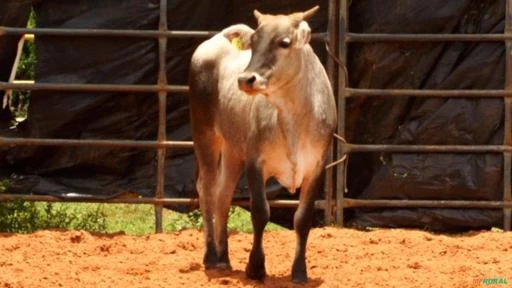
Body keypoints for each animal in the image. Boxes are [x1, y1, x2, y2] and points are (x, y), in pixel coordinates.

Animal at [188, 6, 336, 284]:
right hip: (204, 134)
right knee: (208, 189)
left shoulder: (316, 168)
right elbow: (260, 212)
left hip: (233, 149)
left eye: (284, 42)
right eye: (254, 42)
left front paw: (299, 272)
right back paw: (211, 255)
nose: (246, 79)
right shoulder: (256, 163)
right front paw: (256, 268)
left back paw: (224, 258)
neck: (293, 118)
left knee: (223, 194)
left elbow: (303, 219)